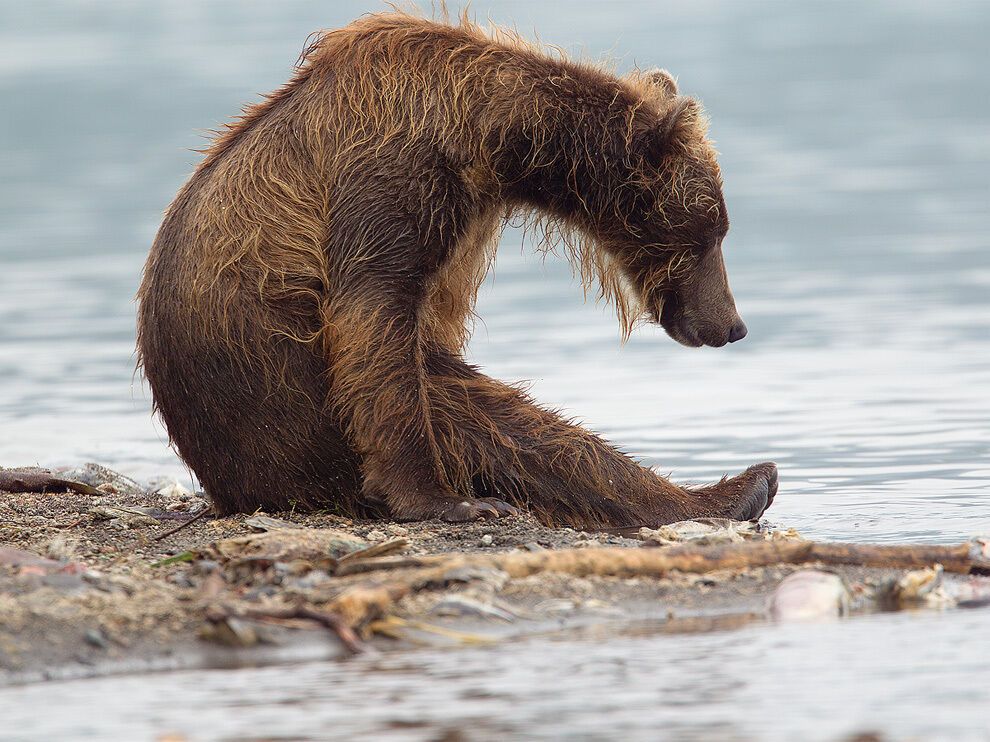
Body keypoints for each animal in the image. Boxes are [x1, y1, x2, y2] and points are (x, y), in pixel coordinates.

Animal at [136, 8, 780, 528]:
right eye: (711, 233)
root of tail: (226, 490)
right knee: (477, 411)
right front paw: (442, 500)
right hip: (285, 411)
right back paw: (726, 494)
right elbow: (377, 325)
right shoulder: (390, 177)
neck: (490, 138)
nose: (732, 326)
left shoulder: (462, 223)